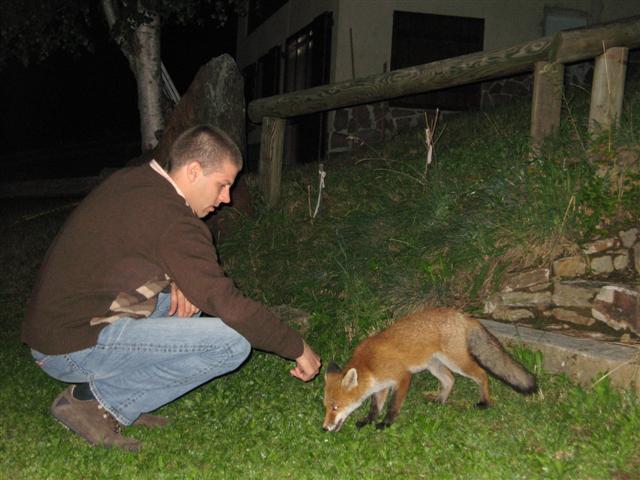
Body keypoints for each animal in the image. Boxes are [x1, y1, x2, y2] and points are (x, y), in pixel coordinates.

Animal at [322, 307, 537, 432]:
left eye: (336, 407)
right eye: (326, 407)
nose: (324, 428)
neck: (369, 364)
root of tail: (463, 316)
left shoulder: (402, 377)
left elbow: (392, 406)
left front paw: (386, 423)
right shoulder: (381, 385)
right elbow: (375, 407)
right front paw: (367, 420)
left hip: (457, 362)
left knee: (482, 374)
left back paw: (484, 402)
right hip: (435, 365)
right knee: (450, 379)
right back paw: (440, 400)